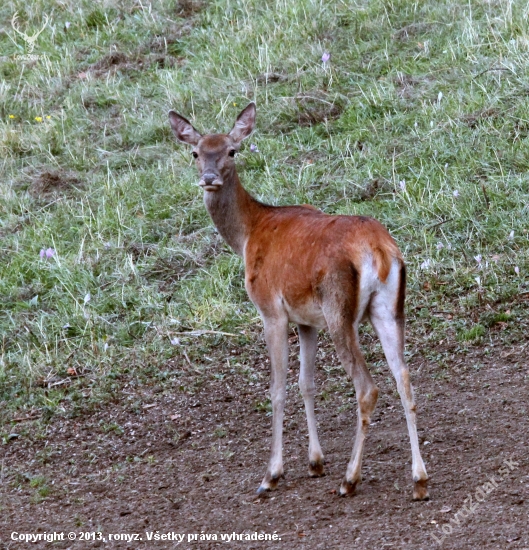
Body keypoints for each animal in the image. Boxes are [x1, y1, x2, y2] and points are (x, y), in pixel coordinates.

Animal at [169, 101, 428, 502]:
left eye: (232, 150)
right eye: (196, 152)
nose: (209, 177)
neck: (248, 235)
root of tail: (381, 251)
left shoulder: (271, 310)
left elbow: (277, 389)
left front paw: (272, 474)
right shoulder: (307, 320)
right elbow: (307, 383)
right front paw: (315, 462)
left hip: (340, 310)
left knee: (367, 387)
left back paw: (350, 479)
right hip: (387, 308)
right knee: (404, 377)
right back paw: (419, 480)